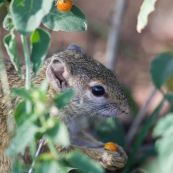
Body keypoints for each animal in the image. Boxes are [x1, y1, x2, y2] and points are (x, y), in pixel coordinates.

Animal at [0, 44, 130, 172]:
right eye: (98, 90)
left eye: (111, 73)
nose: (126, 109)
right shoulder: (42, 131)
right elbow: (62, 151)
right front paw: (105, 157)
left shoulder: (72, 130)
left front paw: (119, 151)